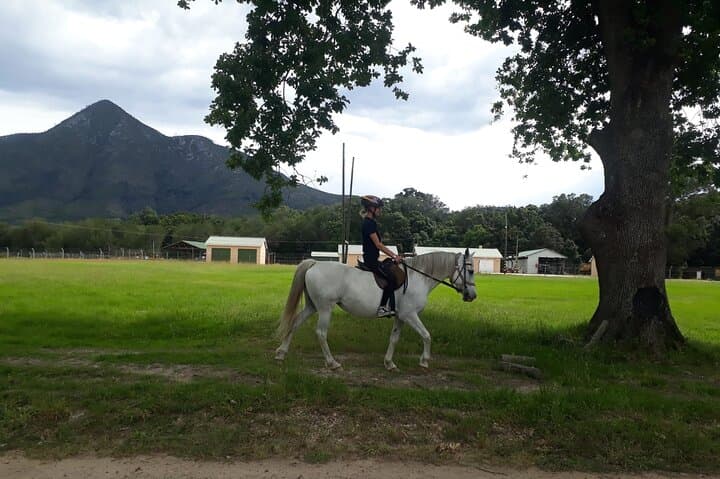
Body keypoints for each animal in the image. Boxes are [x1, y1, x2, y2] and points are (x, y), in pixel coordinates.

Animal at [274, 250, 477, 370]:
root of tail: (315, 264)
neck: (418, 277)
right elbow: (427, 335)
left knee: (294, 323)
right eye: (471, 271)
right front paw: (425, 360)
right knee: (321, 333)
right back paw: (332, 363)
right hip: (325, 308)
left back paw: (281, 353)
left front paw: (389, 363)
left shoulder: (401, 317)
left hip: (312, 306)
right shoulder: (410, 315)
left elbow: (394, 339)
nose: (472, 296)